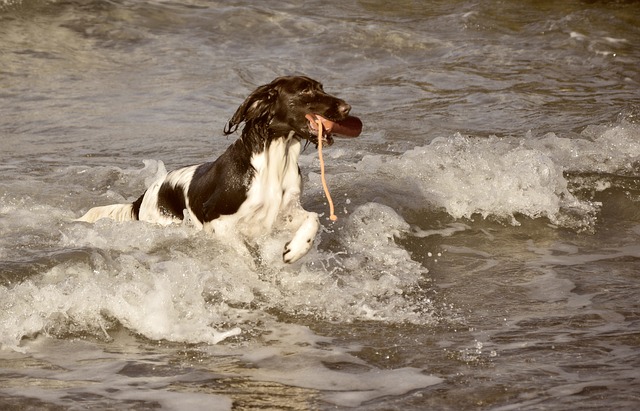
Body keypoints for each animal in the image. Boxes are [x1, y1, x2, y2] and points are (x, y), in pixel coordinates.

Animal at [77, 76, 362, 264]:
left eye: (321, 88)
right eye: (305, 91)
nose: (347, 108)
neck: (274, 161)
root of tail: (144, 196)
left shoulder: (282, 212)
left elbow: (313, 218)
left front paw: (295, 249)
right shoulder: (218, 221)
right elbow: (247, 254)